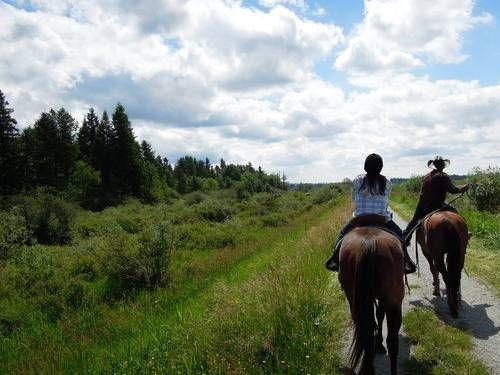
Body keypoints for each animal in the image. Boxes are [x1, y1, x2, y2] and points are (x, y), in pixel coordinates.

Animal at [338, 225, 404, 374]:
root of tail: (369, 243)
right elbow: (379, 316)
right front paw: (379, 343)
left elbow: (376, 317)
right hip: (394, 303)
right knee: (392, 342)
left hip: (354, 300)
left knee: (366, 336)